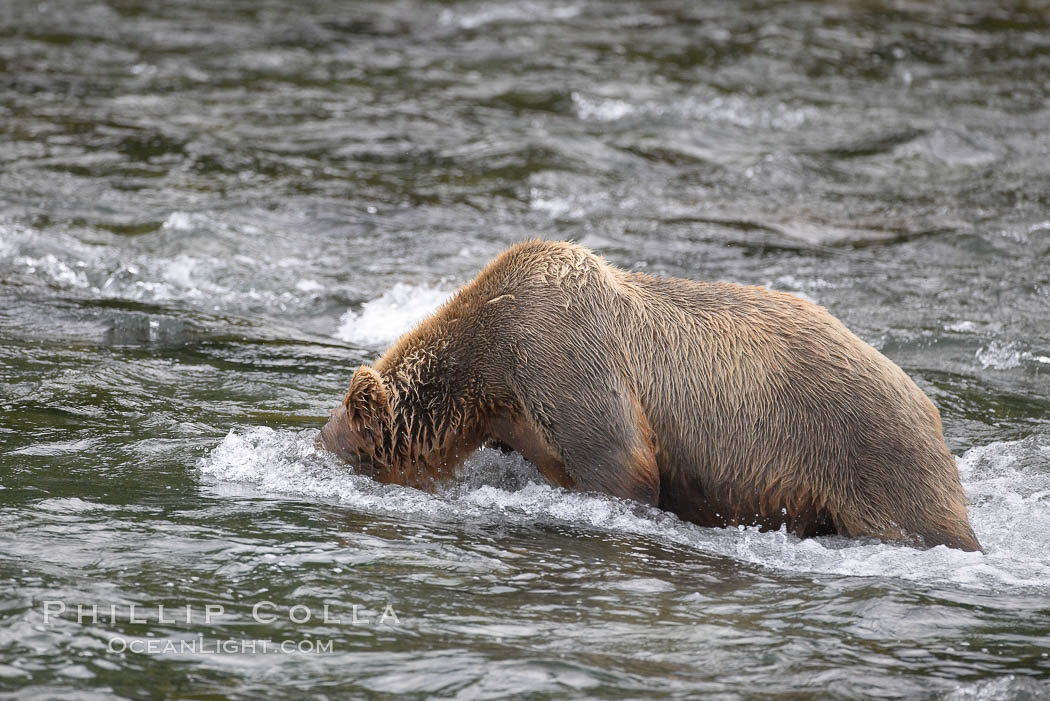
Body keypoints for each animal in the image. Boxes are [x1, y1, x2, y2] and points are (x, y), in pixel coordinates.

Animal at [319, 241, 982, 554]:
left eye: (347, 449)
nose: (317, 447)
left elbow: (623, 467)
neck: (486, 375)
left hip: (868, 452)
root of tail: (930, 406)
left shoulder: (560, 356)